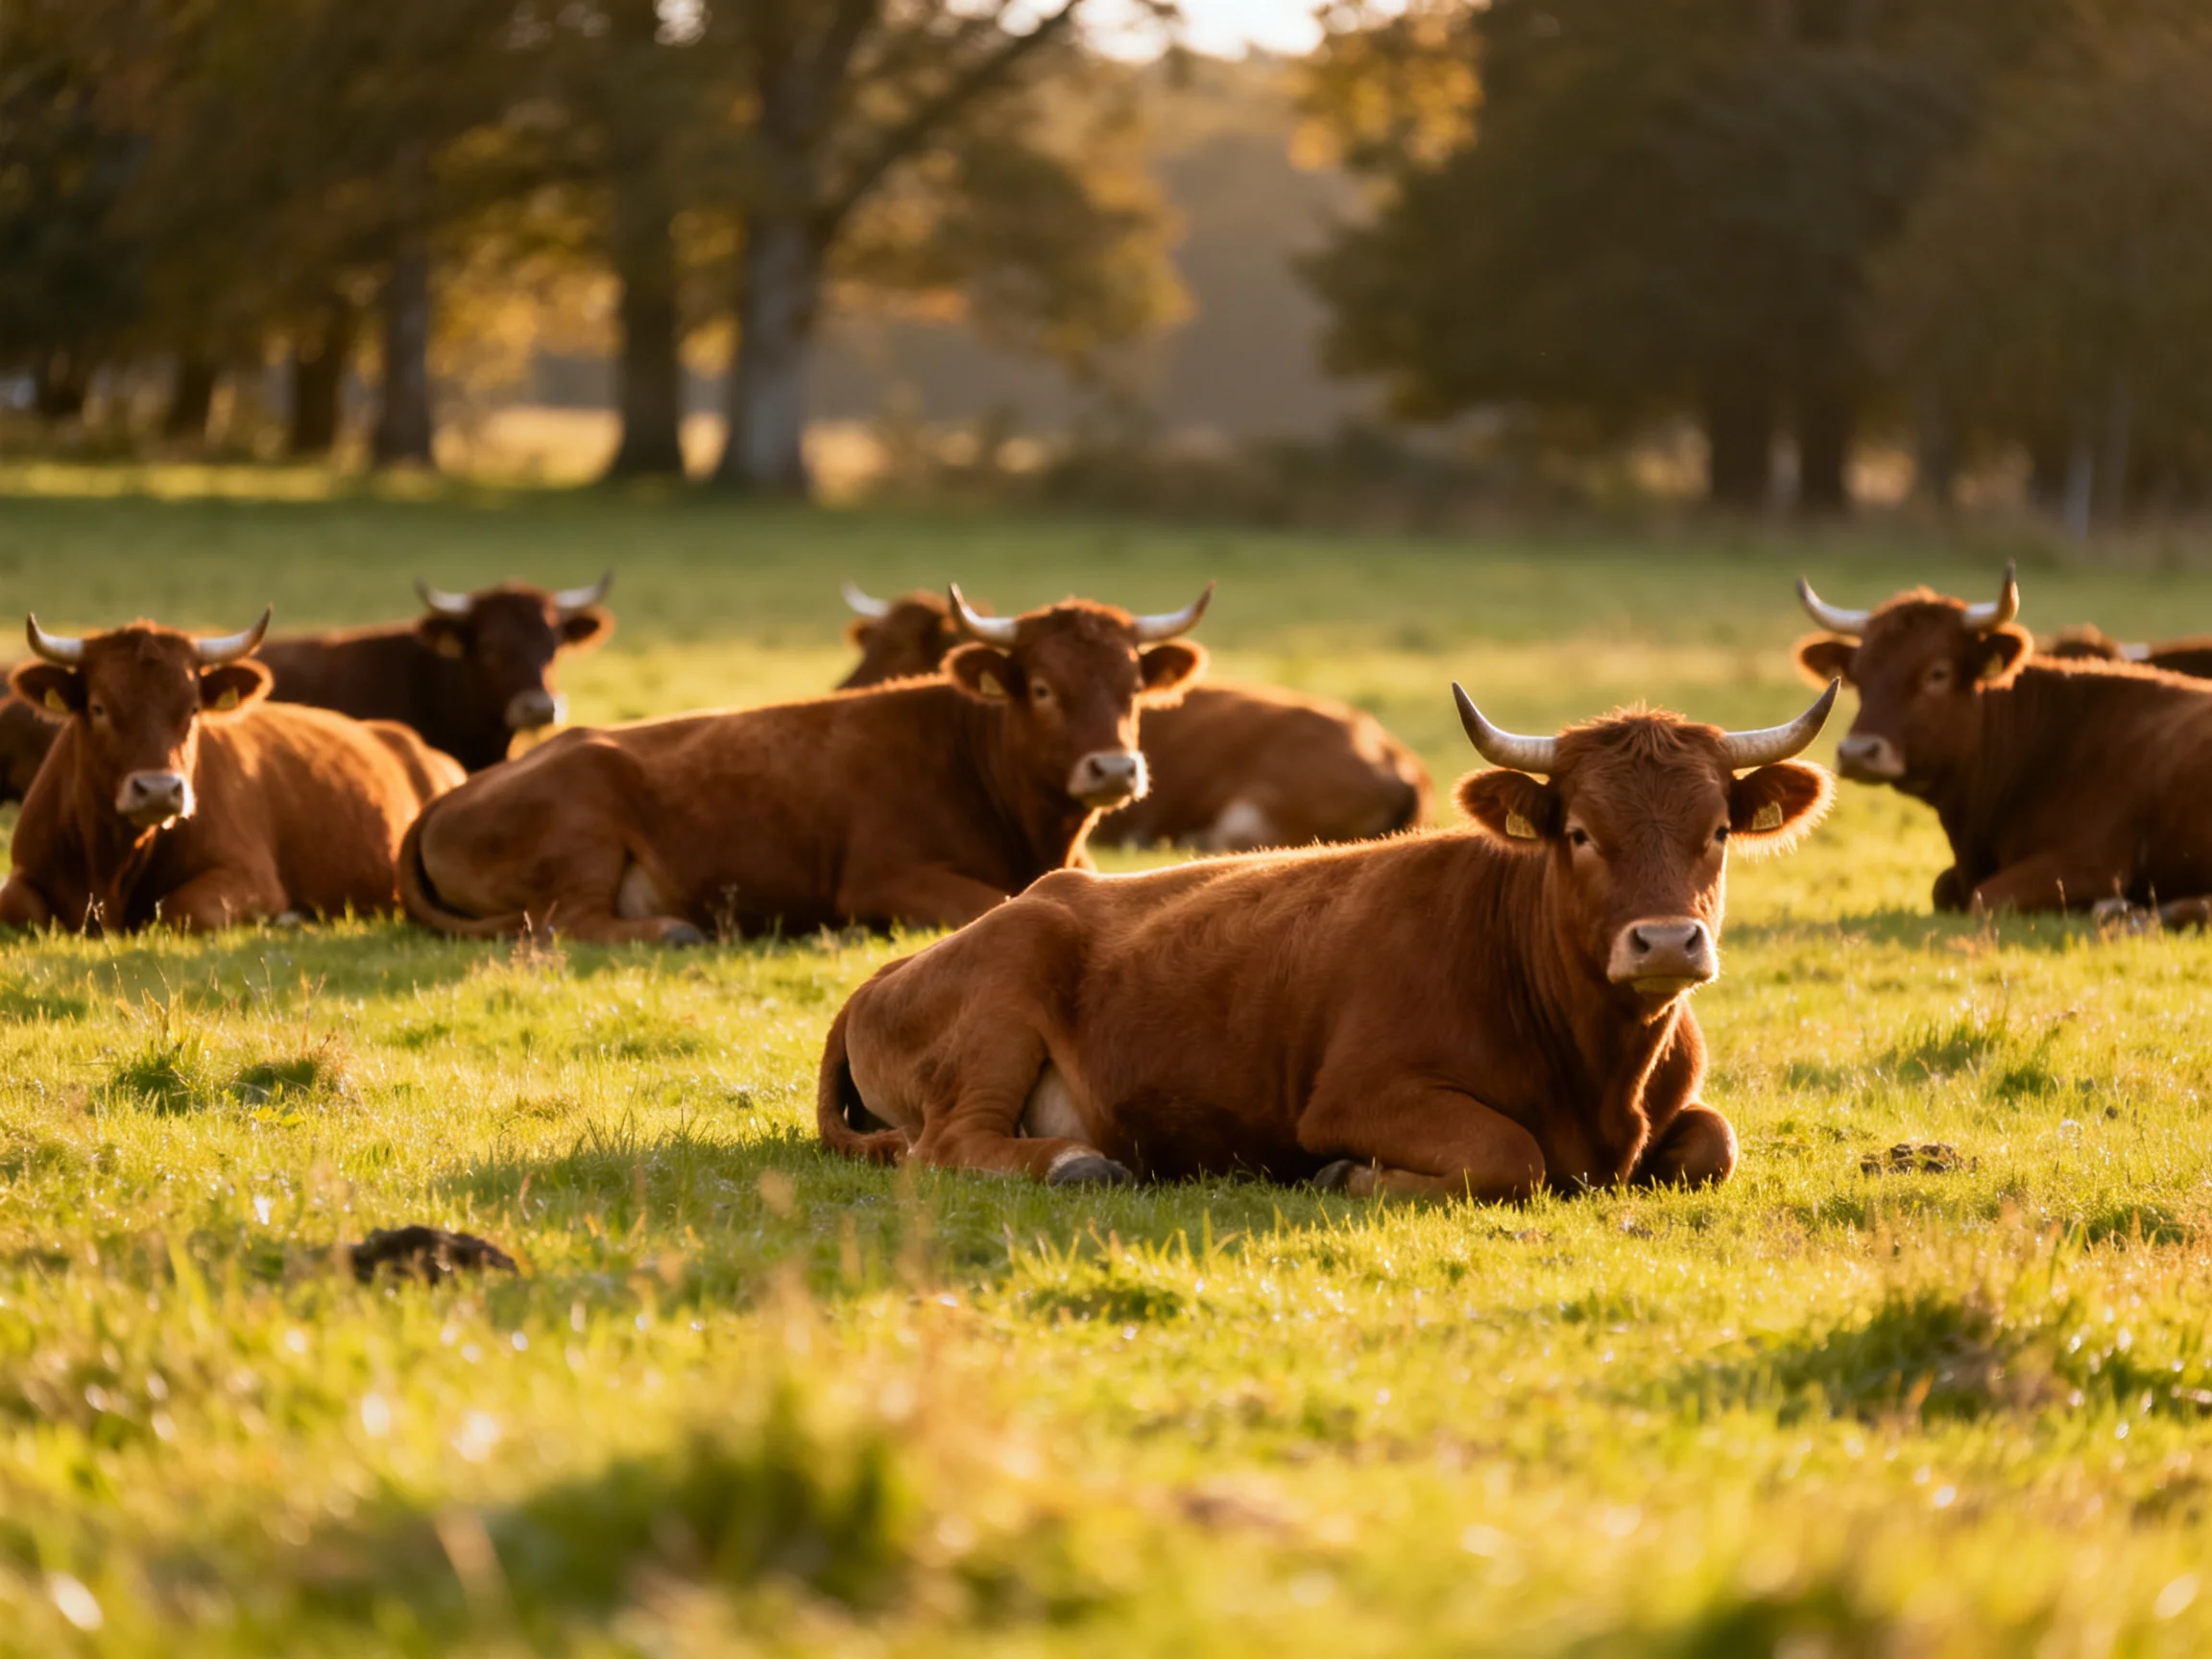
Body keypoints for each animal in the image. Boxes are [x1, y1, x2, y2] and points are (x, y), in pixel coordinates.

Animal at [0, 612, 464, 933]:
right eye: (98, 707)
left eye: (192, 709)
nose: (158, 790)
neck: (113, 863)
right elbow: (19, 906)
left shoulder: (251, 877)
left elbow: (181, 909)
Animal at [398, 586, 1212, 945]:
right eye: (1041, 688)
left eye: (1133, 686)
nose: (1113, 770)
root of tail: (449, 796)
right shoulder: (880, 877)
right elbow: (998, 903)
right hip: (585, 829)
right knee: (567, 922)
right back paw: (672, 929)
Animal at [814, 681, 1838, 1199]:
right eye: (1580, 833)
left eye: (1717, 830)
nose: (1664, 944)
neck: (1599, 1071)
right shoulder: (1356, 1096)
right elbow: (1510, 1156)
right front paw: (1351, 1176)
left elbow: (1712, 1144)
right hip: (1002, 1004)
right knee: (948, 1145)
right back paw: (1077, 1163)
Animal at [1796, 564, 2212, 923]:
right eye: (1858, 674)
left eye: (1937, 673)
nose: (1858, 752)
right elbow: (1941, 888)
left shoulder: (2093, 864)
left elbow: (1985, 897)